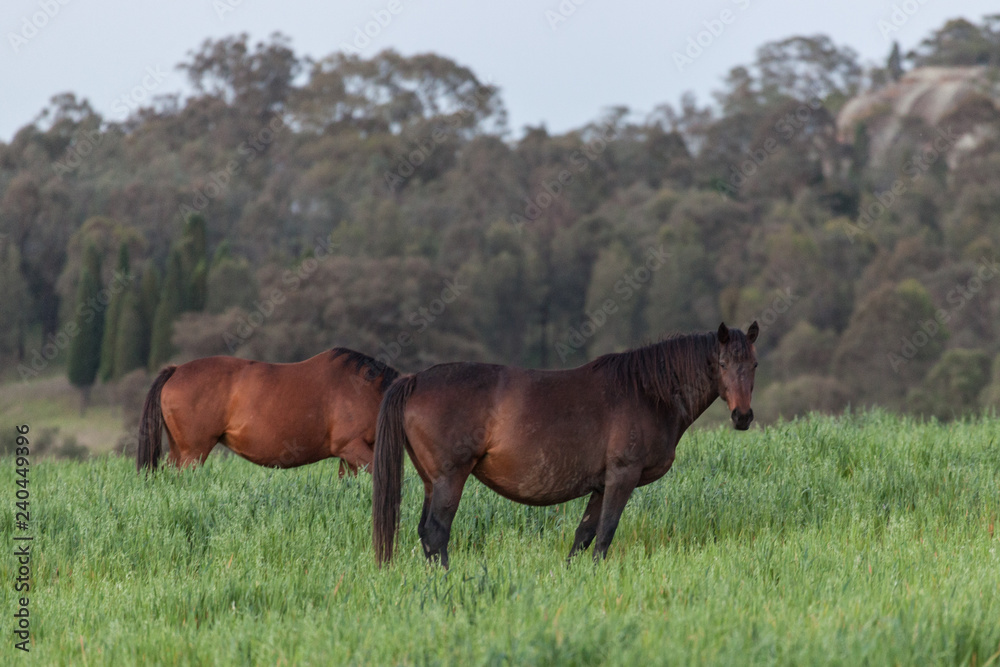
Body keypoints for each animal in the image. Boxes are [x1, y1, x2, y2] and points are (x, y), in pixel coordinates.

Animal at [137, 348, 399, 474]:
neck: (367, 389)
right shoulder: (352, 447)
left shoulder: (347, 456)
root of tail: (175, 370)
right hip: (193, 453)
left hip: (179, 451)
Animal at [372, 322, 759, 567]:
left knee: (425, 534)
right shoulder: (622, 476)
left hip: (430, 482)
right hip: (450, 479)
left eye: (754, 364)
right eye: (722, 363)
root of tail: (414, 380)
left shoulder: (601, 485)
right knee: (437, 533)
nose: (742, 416)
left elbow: (584, 536)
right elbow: (604, 535)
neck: (646, 392)